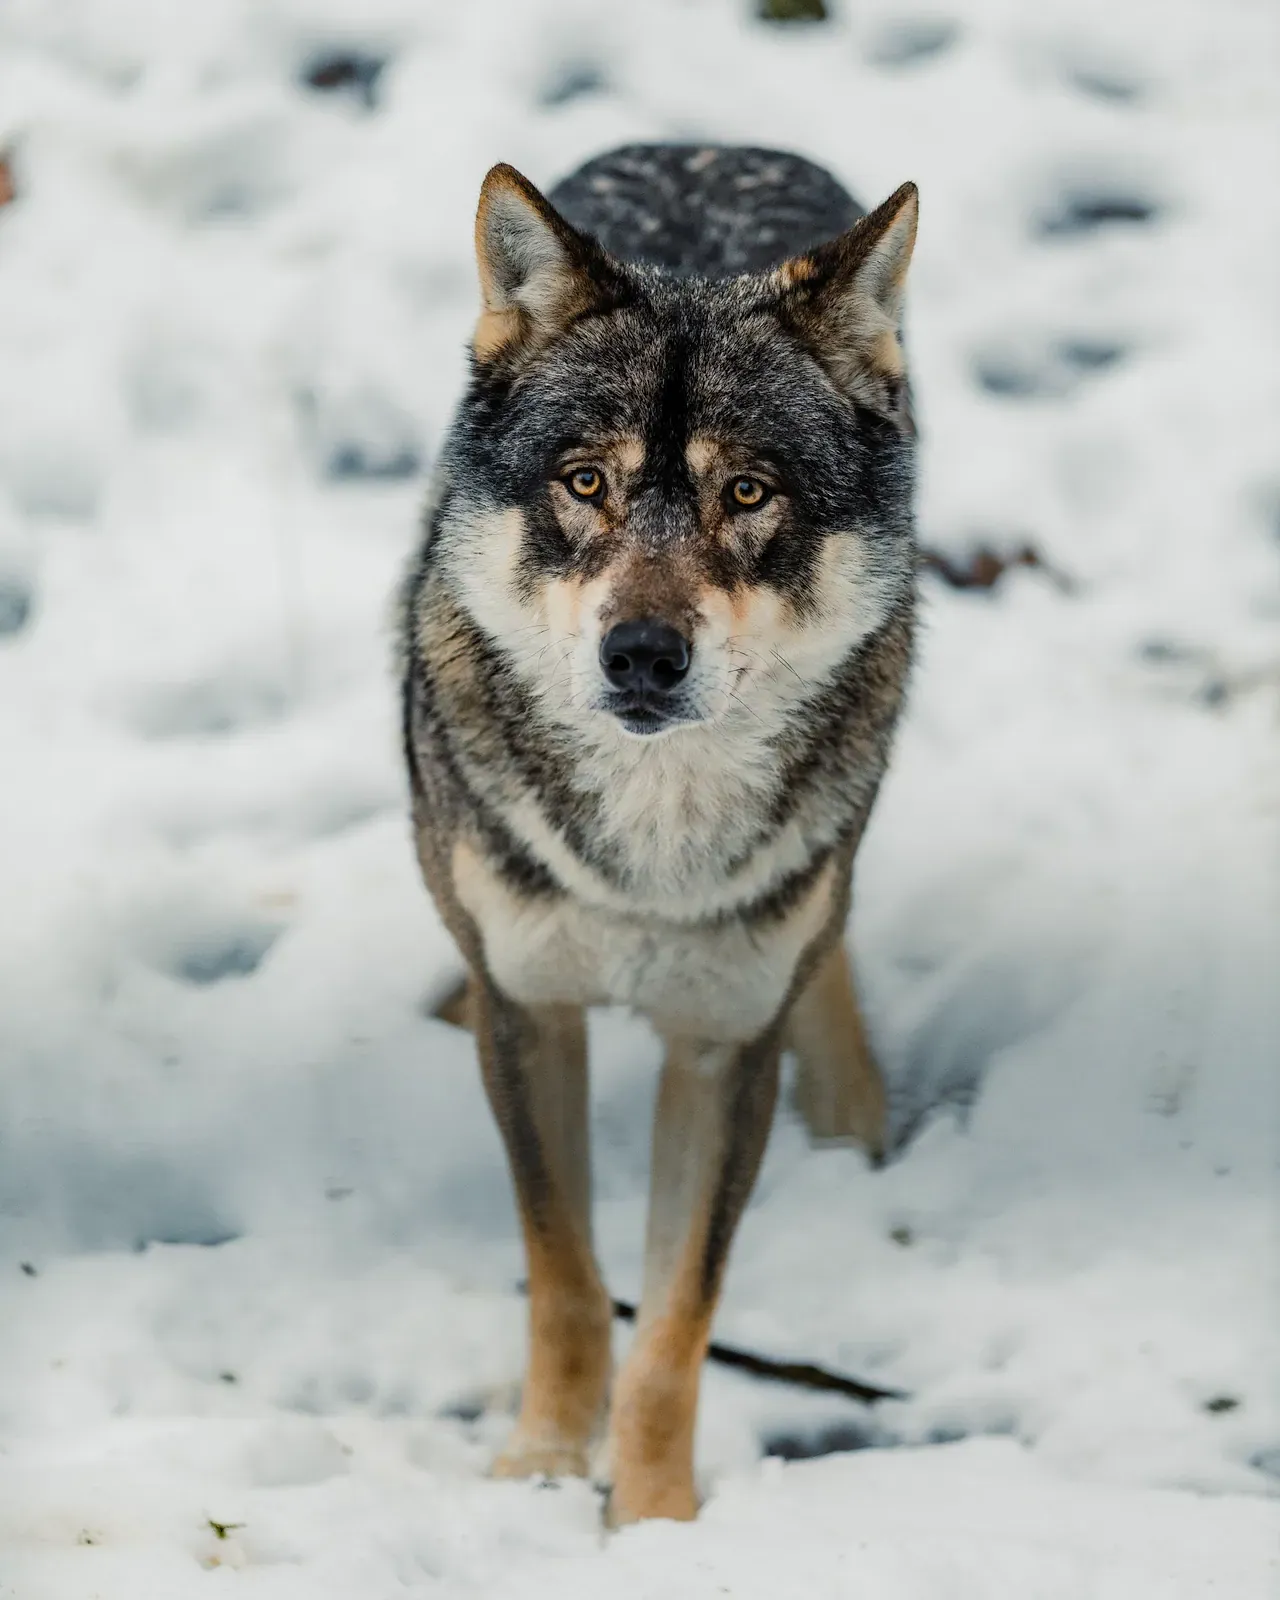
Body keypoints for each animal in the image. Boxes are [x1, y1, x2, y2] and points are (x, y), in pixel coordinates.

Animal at [399, 143, 918, 1524]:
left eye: (747, 491)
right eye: (588, 482)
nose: (640, 653)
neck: (651, 845)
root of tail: (711, 141)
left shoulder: (723, 1047)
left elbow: (677, 1319)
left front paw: (653, 1521)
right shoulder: (533, 1013)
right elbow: (569, 1277)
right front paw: (536, 1469)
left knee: (829, 926)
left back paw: (852, 1110)